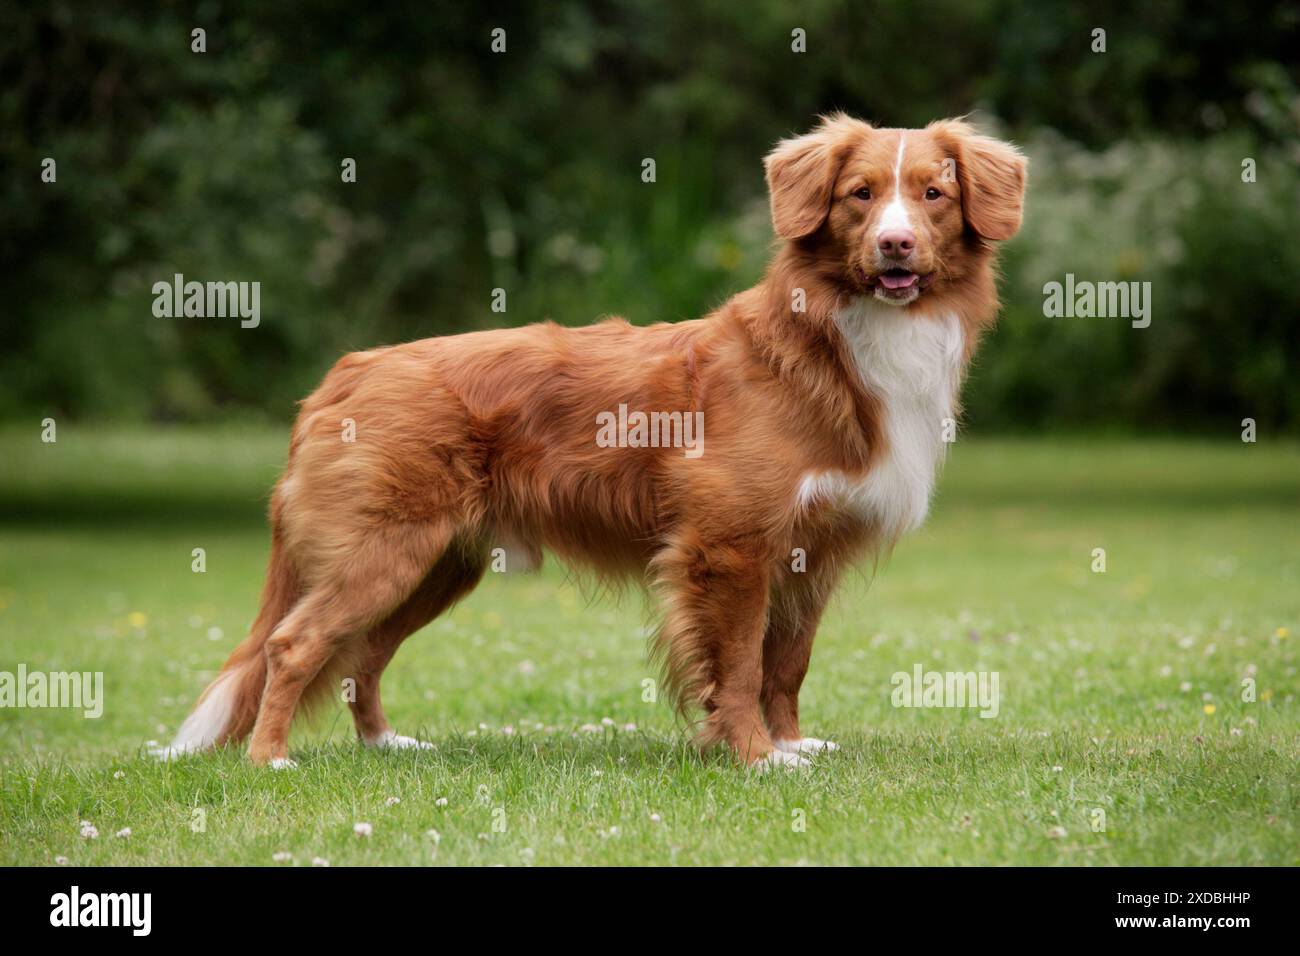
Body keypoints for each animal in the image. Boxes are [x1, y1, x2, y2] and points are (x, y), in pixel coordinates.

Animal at [165, 113, 1024, 770]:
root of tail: (345, 372)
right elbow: (739, 666)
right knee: (295, 645)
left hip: (437, 566)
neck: (834, 343)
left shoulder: (811, 554)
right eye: (860, 196)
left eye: (934, 195)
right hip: (386, 552)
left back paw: (385, 746)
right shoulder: (729, 549)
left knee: (360, 657)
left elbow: (786, 664)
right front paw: (754, 756)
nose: (895, 246)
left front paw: (790, 743)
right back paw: (270, 759)